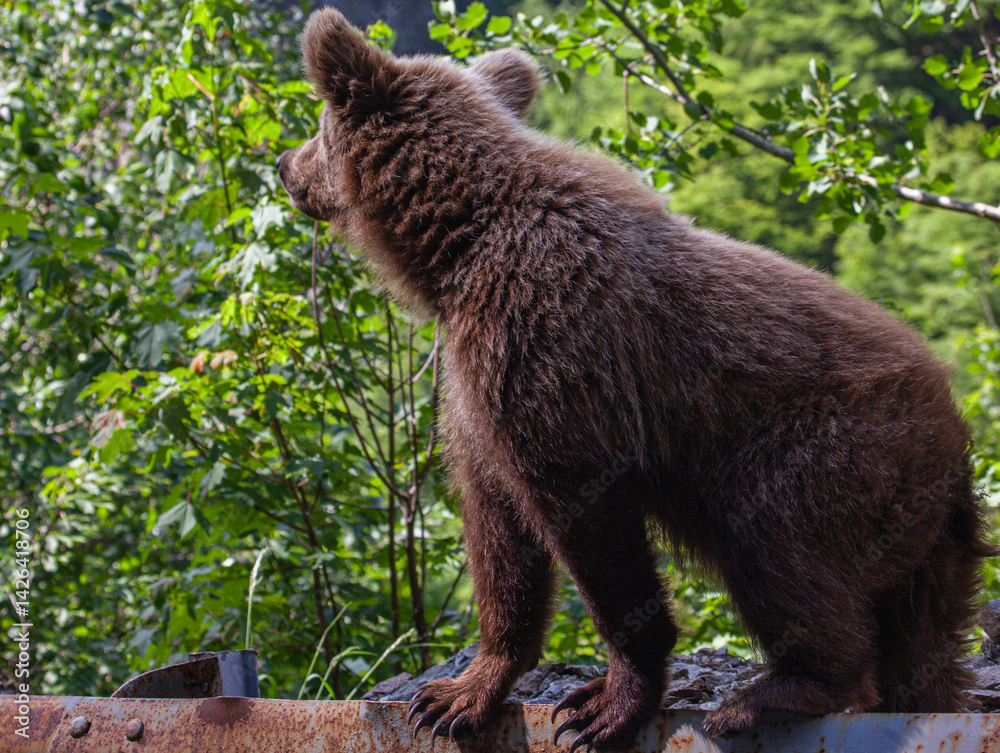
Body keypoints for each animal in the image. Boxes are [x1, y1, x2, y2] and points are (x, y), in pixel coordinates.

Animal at [278, 8, 996, 750]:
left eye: (316, 125)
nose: (283, 164)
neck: (459, 246)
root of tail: (955, 444)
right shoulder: (481, 385)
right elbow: (499, 530)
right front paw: (458, 693)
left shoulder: (554, 347)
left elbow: (589, 520)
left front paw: (602, 703)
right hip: (930, 547)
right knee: (924, 646)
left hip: (826, 453)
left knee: (779, 548)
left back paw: (772, 691)